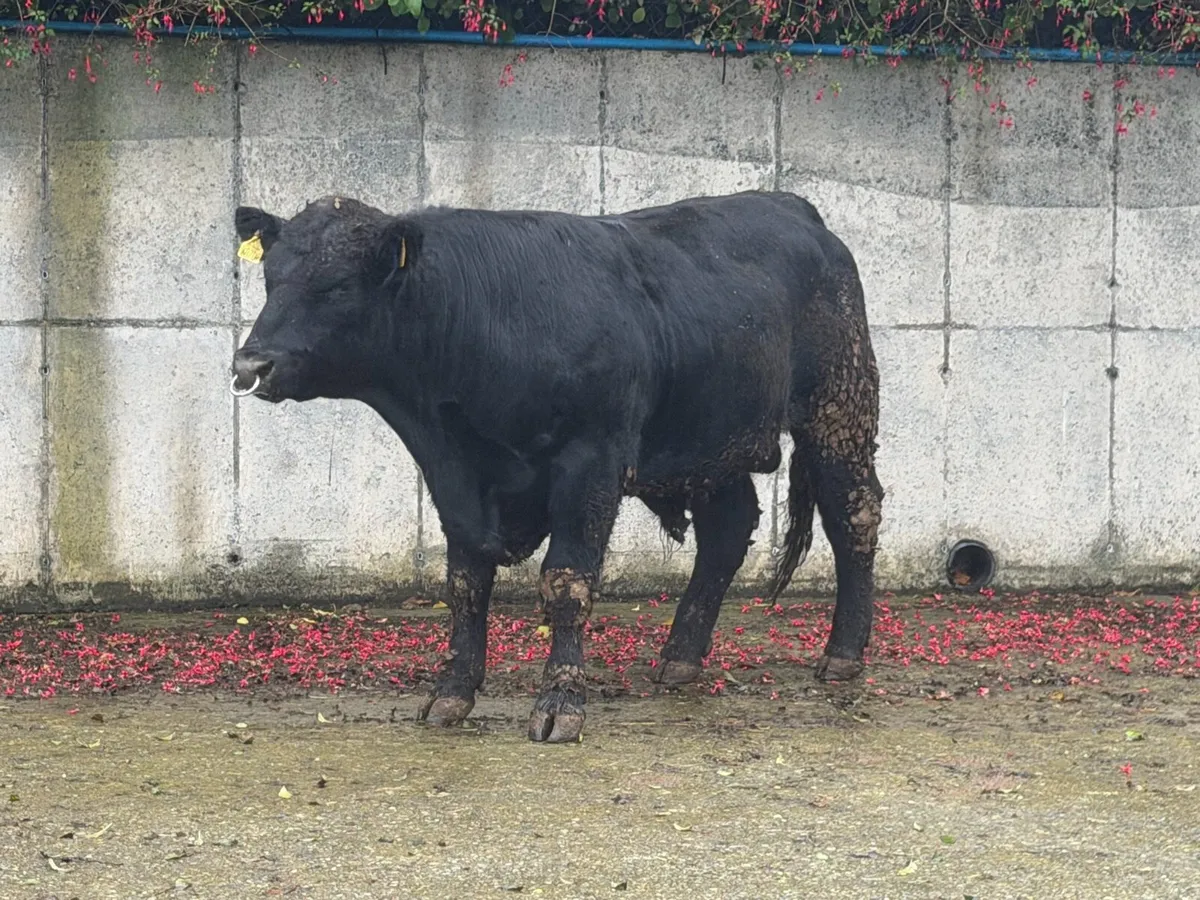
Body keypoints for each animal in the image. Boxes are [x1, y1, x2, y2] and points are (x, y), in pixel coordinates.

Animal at [230, 190, 884, 744]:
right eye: (269, 278)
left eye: (337, 285)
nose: (249, 364)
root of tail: (792, 207)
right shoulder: (455, 477)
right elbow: (465, 585)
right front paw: (451, 692)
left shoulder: (589, 463)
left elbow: (566, 582)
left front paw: (560, 702)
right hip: (709, 441)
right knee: (727, 531)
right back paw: (680, 658)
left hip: (838, 408)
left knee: (854, 515)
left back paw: (844, 654)